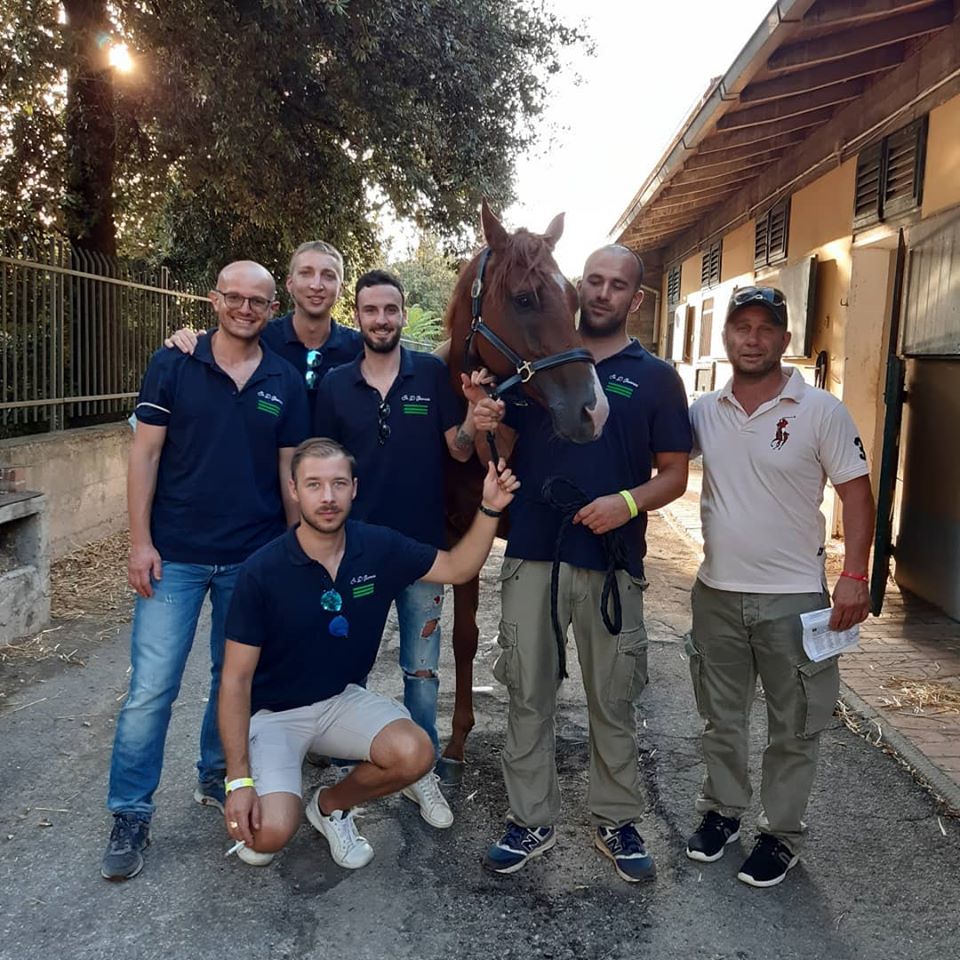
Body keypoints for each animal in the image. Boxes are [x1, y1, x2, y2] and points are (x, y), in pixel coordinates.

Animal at [436, 202, 608, 780]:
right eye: (525, 298)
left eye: (576, 300)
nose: (594, 410)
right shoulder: (458, 533)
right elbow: (463, 637)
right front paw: (455, 742)